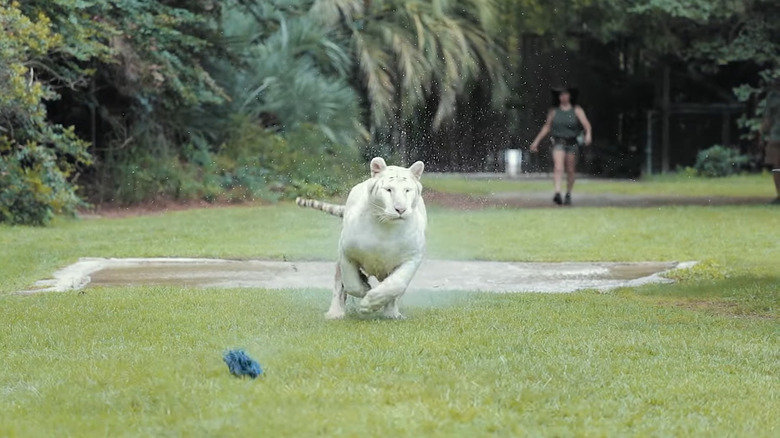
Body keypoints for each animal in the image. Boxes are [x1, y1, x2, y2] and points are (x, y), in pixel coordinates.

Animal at [296, 157, 426, 318]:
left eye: (407, 190)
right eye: (389, 190)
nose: (400, 209)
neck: (387, 228)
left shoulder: (412, 258)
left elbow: (396, 284)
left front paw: (371, 303)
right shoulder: (346, 252)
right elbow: (351, 283)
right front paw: (365, 290)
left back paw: (391, 314)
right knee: (338, 285)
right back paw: (335, 313)